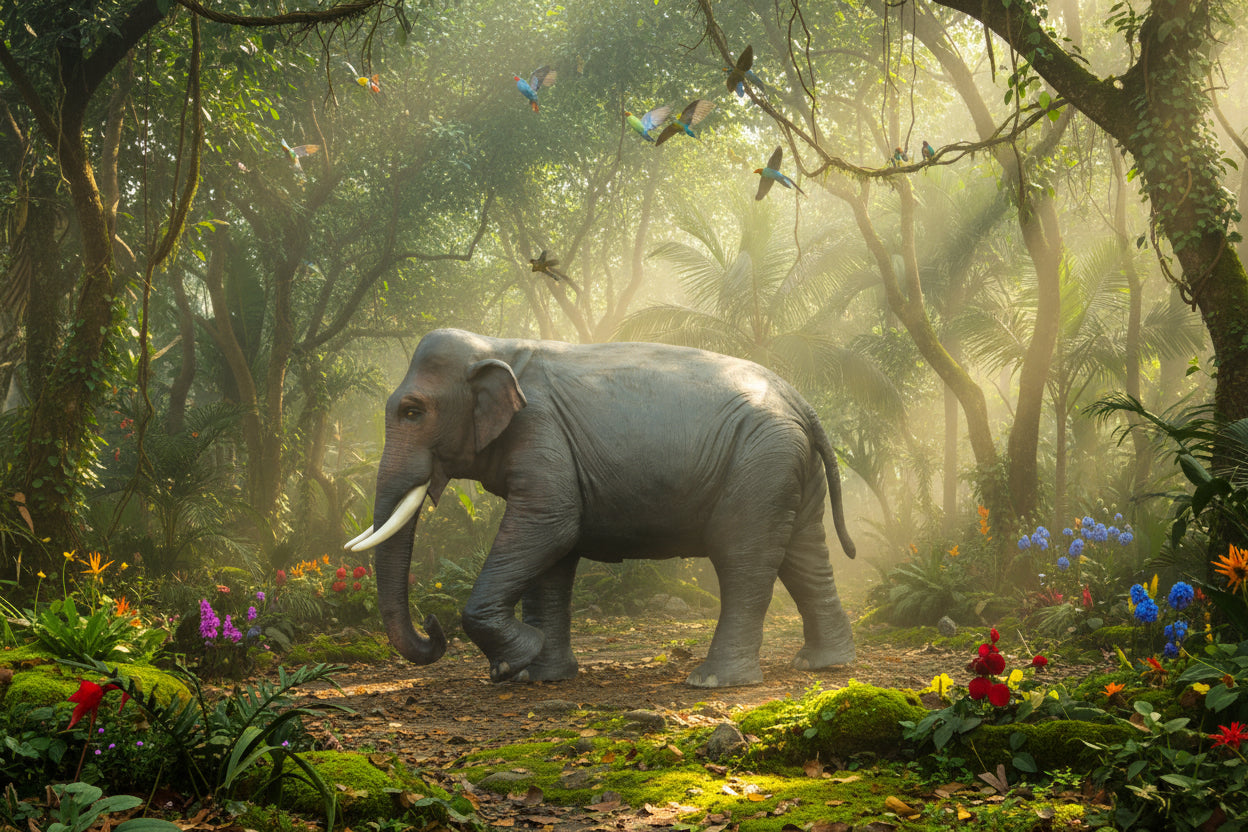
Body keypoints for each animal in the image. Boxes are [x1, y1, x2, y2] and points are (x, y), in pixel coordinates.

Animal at [347, 328, 856, 688]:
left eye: (412, 411)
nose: (432, 626)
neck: (497, 344)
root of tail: (800, 400)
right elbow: (555, 557)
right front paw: (539, 673)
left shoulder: (540, 428)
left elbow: (552, 526)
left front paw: (515, 662)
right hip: (790, 464)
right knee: (804, 554)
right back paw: (824, 664)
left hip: (762, 460)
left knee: (742, 557)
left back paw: (713, 681)